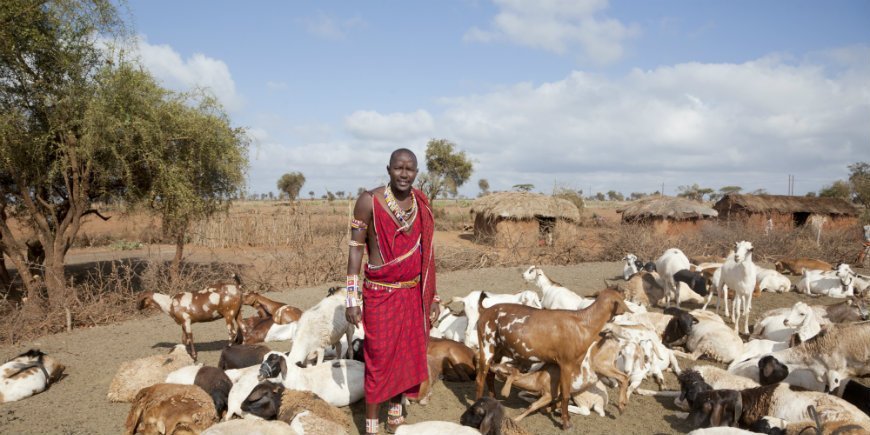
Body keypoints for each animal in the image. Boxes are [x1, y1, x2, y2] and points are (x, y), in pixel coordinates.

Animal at [474, 288, 632, 430]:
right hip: (486, 346)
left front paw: (622, 405)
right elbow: (566, 394)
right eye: (621, 296)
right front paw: (566, 424)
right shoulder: (566, 363)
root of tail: (484, 310)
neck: (583, 323)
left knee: (490, 374)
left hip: (498, 350)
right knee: (480, 379)